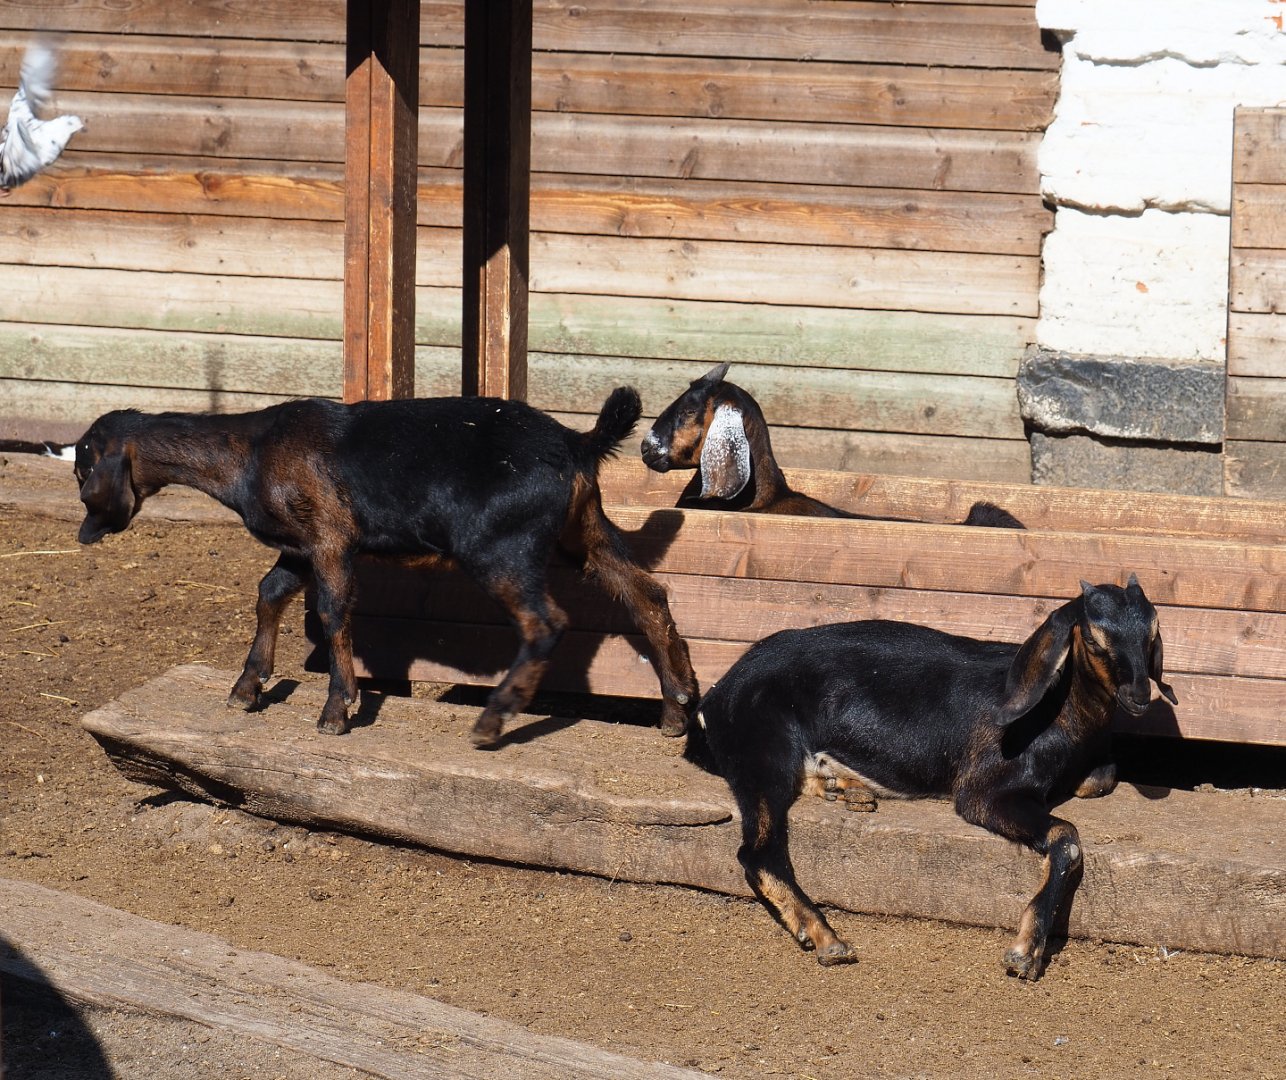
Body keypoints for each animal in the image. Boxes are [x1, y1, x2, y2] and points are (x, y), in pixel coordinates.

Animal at [73, 390, 699, 746]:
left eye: (82, 472)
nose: (84, 534)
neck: (250, 452)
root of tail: (575, 442)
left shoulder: (329, 538)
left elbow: (332, 612)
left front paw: (337, 709)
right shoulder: (297, 546)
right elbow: (269, 592)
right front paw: (248, 687)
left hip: (500, 545)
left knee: (545, 623)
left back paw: (492, 720)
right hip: (583, 530)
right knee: (648, 594)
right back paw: (677, 707)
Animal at [689, 575, 1177, 978]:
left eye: (1153, 632)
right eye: (1094, 638)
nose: (1138, 696)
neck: (1060, 712)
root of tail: (716, 697)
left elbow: (1102, 776)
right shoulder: (982, 792)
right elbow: (1067, 837)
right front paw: (1025, 951)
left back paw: (845, 788)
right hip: (762, 751)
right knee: (758, 851)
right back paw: (826, 937)